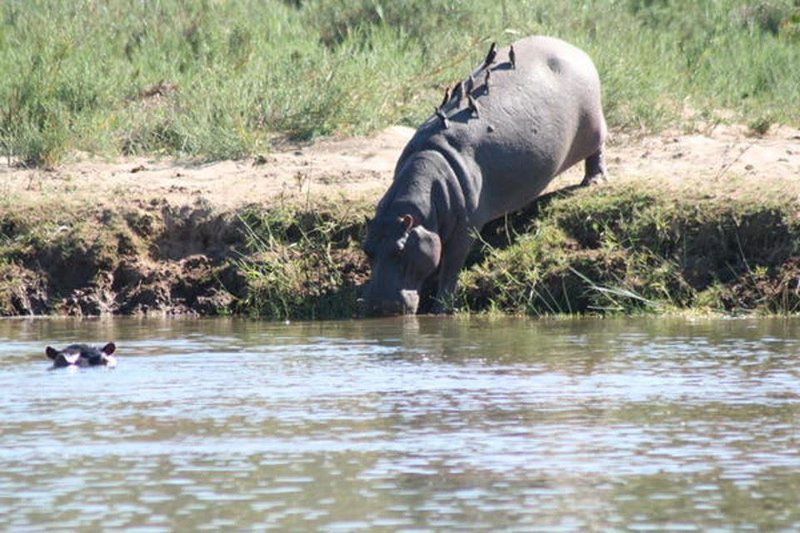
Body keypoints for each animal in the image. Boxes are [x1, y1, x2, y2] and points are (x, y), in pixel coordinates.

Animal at [360, 35, 608, 314]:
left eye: (399, 251)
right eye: (367, 249)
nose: (378, 307)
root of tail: (574, 48)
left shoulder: (464, 230)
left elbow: (450, 267)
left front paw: (440, 309)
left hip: (595, 127)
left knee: (598, 150)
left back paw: (594, 181)